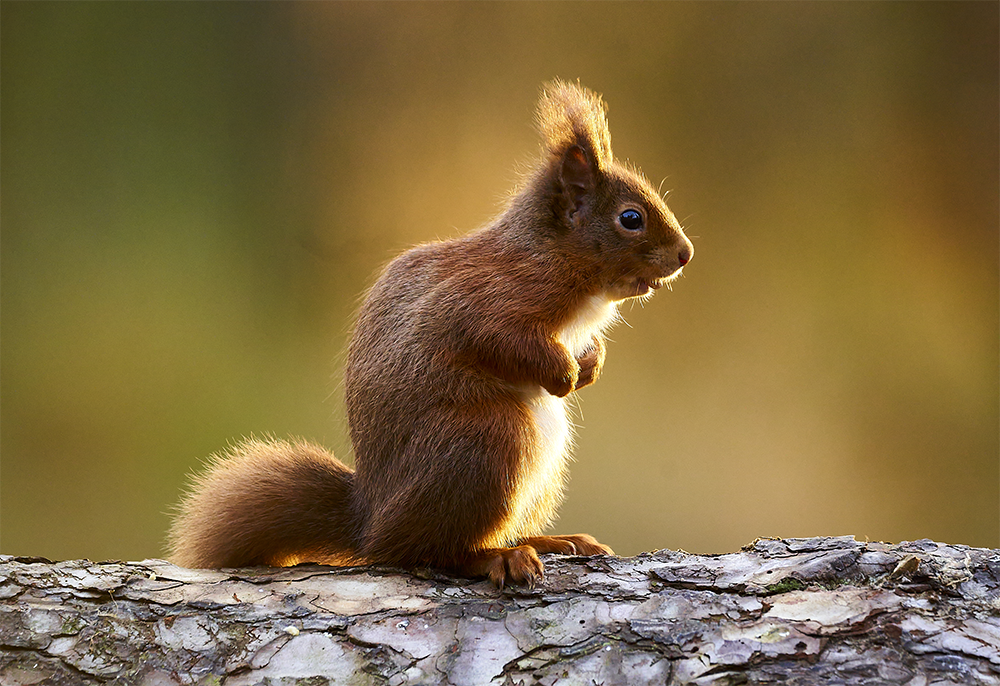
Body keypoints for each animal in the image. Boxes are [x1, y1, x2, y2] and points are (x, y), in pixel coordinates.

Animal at [168, 81, 694, 587]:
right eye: (631, 218)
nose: (685, 254)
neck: (553, 256)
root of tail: (370, 521)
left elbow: (588, 346)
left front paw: (589, 366)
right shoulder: (488, 300)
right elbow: (502, 340)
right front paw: (563, 373)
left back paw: (551, 540)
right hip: (488, 443)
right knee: (426, 550)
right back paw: (497, 557)